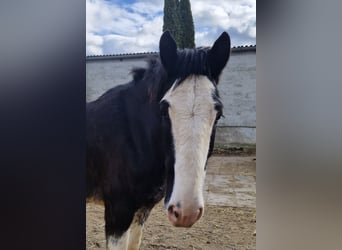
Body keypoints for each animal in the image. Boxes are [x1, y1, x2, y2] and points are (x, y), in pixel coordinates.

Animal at [87, 31, 231, 250]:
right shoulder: (117, 214)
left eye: (219, 114)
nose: (186, 212)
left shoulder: (142, 210)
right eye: (164, 109)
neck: (133, 137)